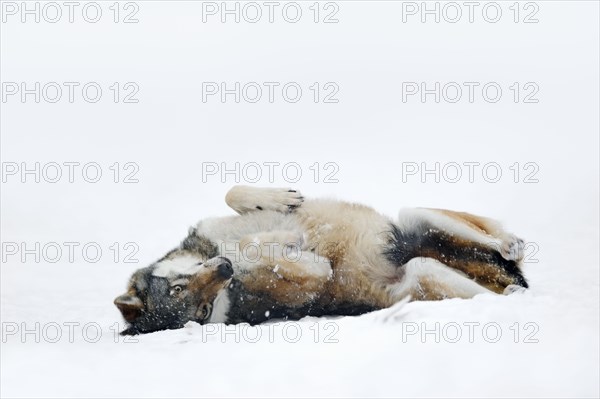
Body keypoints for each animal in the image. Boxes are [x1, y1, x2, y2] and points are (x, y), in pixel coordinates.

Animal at [113, 186, 524, 336]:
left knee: (495, 238)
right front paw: (286, 241)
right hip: (423, 270)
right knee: (502, 291)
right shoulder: (315, 274)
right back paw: (514, 292)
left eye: (180, 287)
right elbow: (259, 244)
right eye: (201, 310)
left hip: (413, 218)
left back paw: (512, 244)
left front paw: (281, 201)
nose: (225, 268)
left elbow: (233, 193)